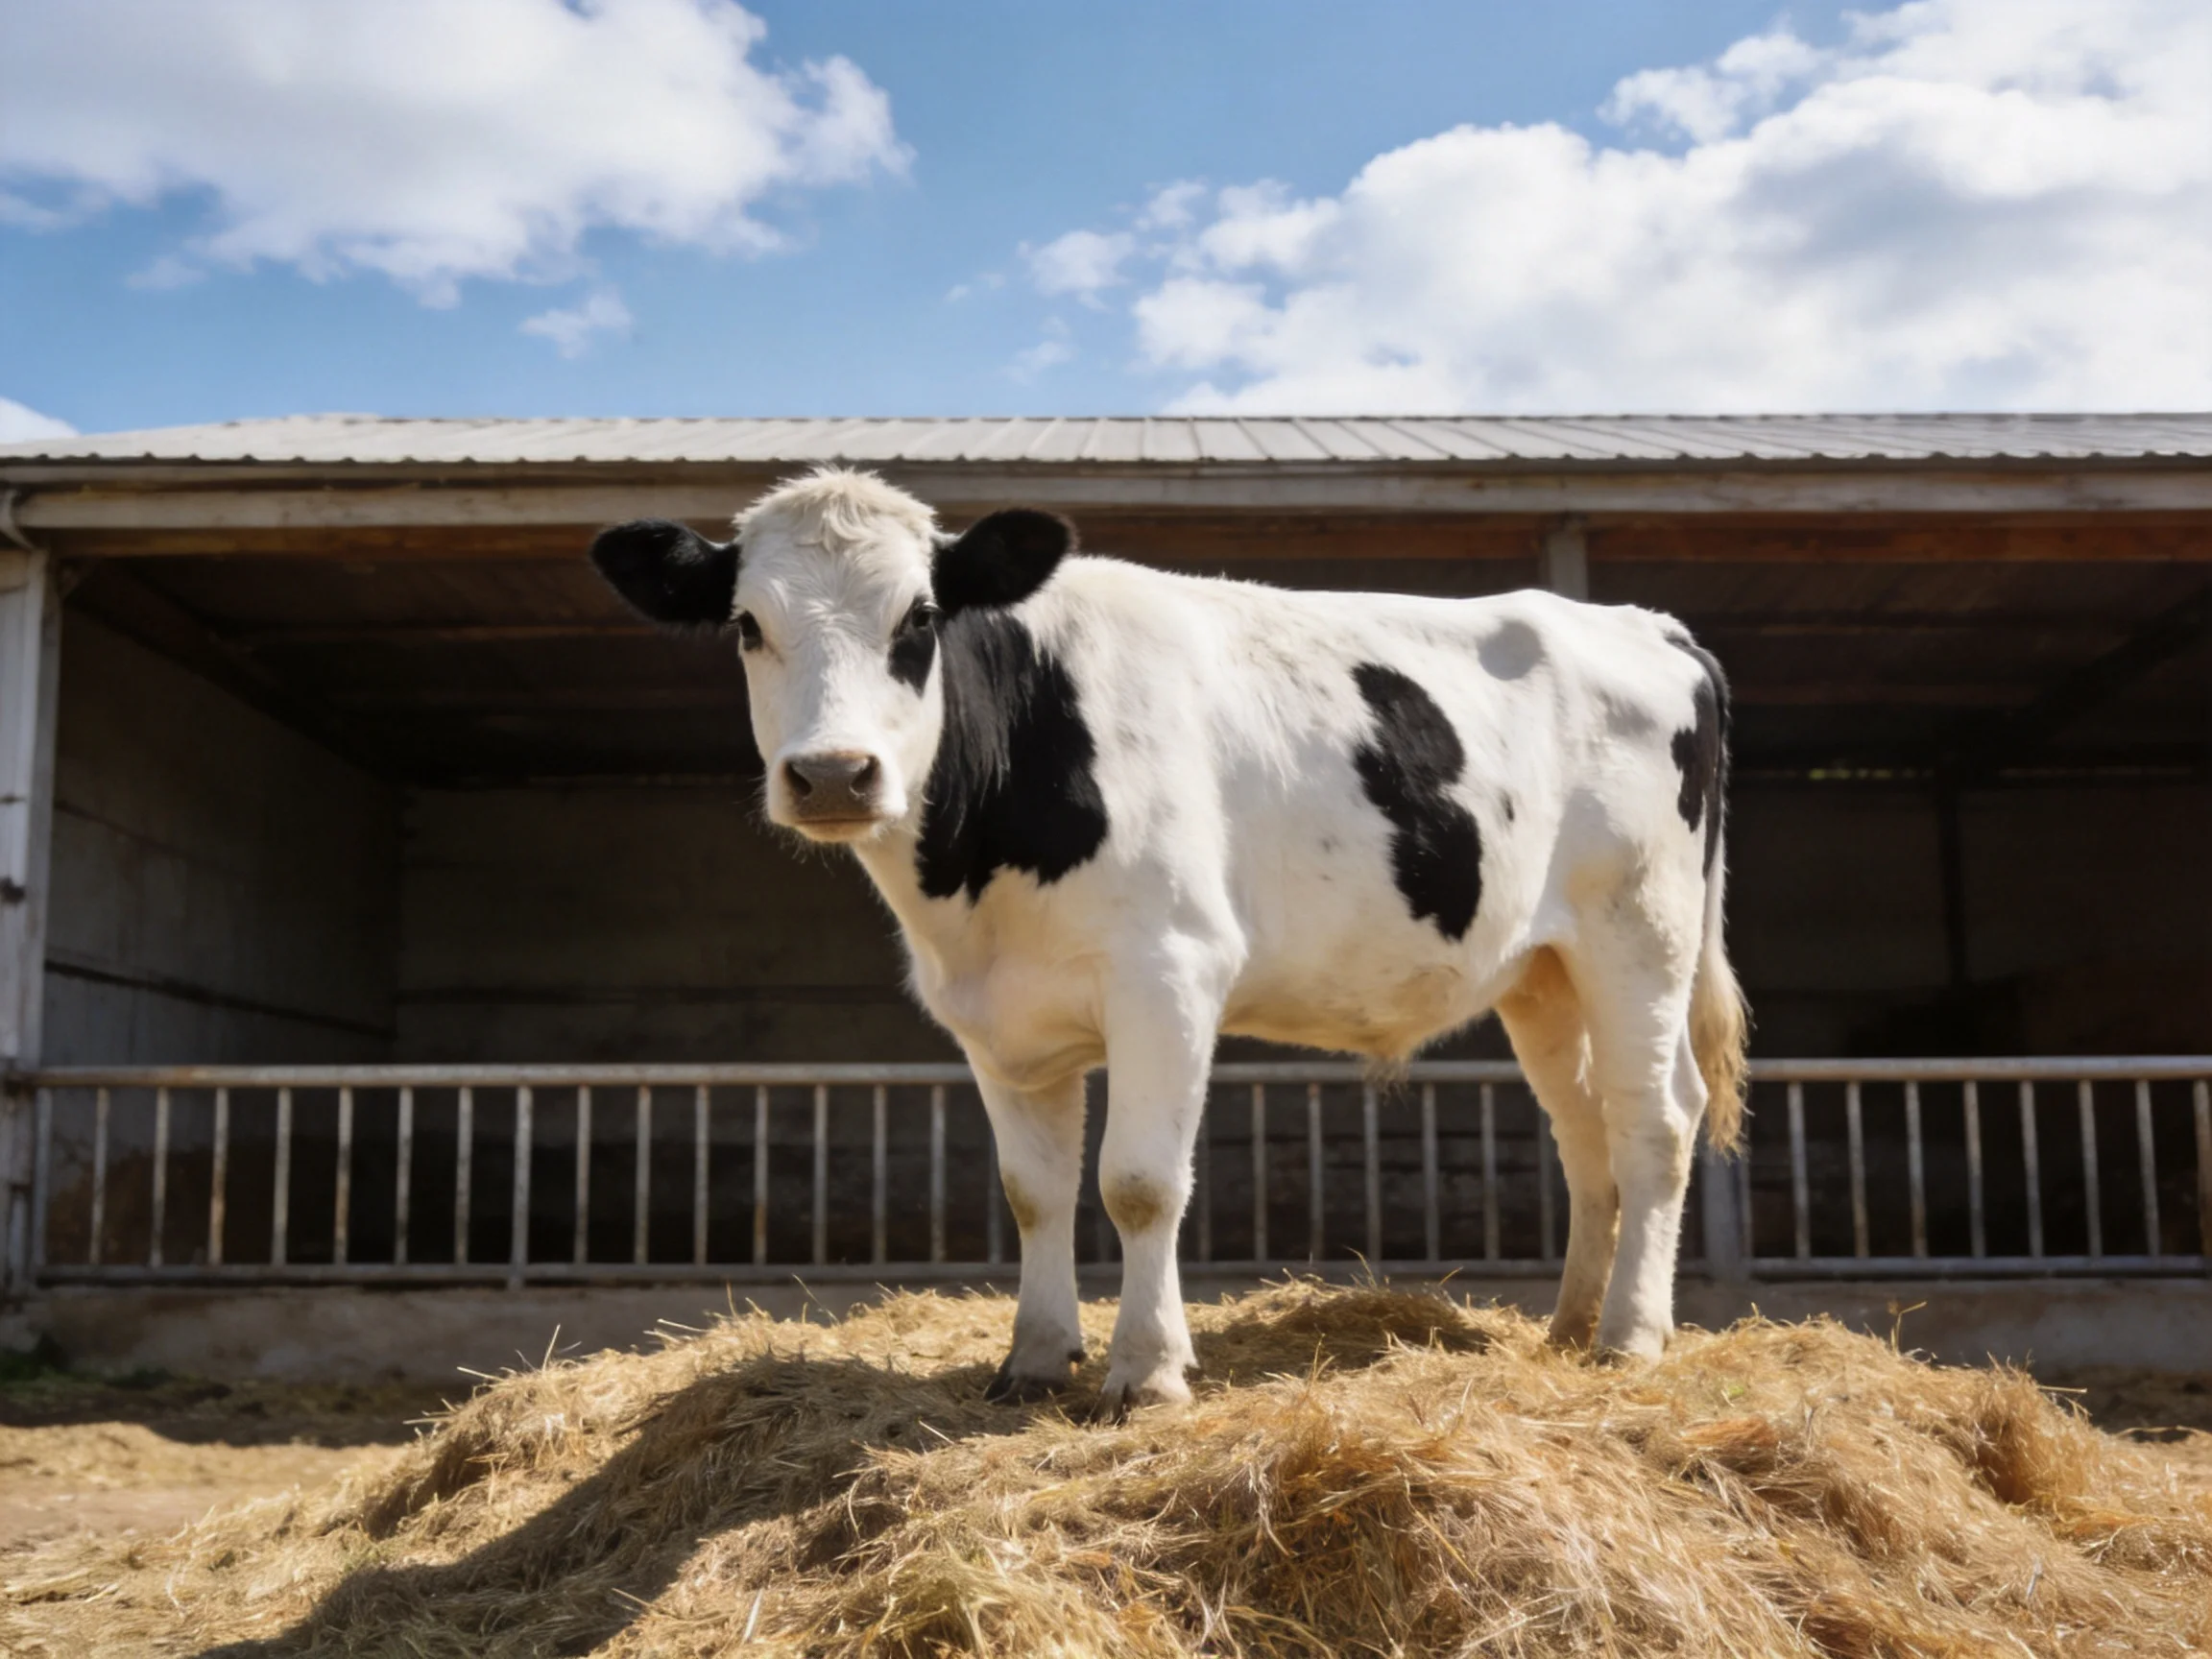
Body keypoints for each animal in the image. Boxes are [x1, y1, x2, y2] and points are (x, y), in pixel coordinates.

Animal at [590, 468, 1748, 1415]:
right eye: (748, 626)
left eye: (917, 617)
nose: (834, 774)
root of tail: (1652, 627)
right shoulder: (995, 1017)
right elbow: (1034, 1191)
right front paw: (1033, 1361)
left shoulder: (1171, 974)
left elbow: (1139, 1182)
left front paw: (1146, 1372)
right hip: (1542, 971)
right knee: (1584, 1127)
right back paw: (1569, 1324)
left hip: (1639, 931)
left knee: (1656, 1119)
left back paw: (1630, 1339)